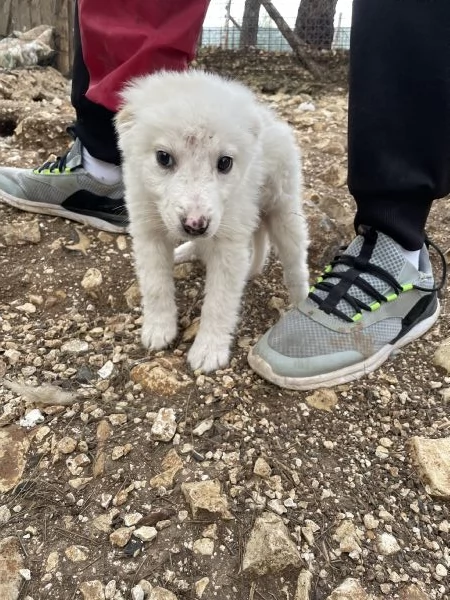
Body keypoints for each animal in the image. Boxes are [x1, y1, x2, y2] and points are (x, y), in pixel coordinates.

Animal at [115, 70, 310, 370]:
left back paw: (301, 301)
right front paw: (159, 328)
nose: (195, 225)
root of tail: (271, 119)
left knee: (295, 262)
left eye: (225, 162)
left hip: (283, 209)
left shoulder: (228, 243)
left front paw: (209, 349)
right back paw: (188, 252)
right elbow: (156, 285)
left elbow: (219, 302)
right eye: (163, 158)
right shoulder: (148, 230)